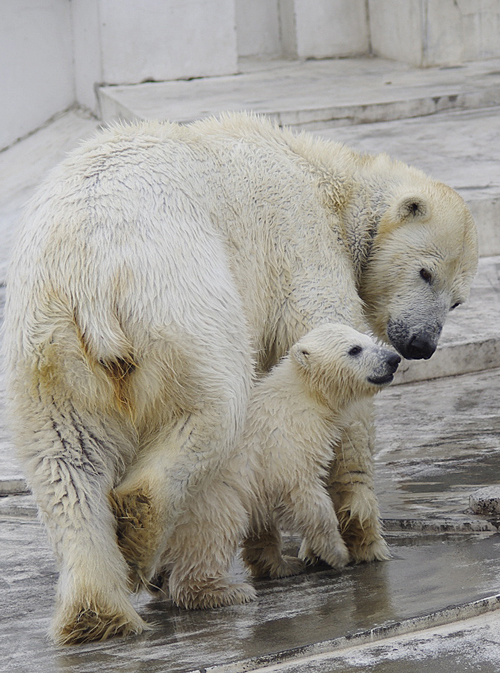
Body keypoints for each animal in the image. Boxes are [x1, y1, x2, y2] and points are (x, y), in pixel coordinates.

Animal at [3, 113, 478, 644]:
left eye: (458, 300)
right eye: (425, 273)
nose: (420, 345)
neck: (327, 181)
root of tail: (91, 280)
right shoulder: (299, 243)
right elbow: (333, 367)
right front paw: (361, 540)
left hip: (48, 346)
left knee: (65, 460)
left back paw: (97, 613)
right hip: (180, 308)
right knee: (215, 404)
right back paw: (142, 541)